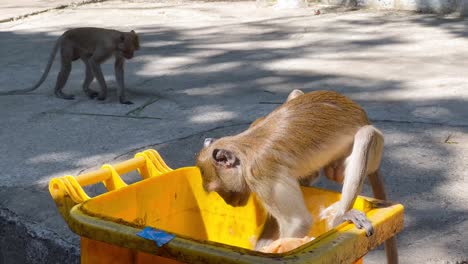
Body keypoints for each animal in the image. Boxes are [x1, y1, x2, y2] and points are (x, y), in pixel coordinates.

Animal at [0, 27, 139, 104]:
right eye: (129, 51)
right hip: (67, 46)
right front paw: (103, 94)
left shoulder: (117, 53)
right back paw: (58, 93)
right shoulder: (106, 48)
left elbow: (118, 68)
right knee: (68, 67)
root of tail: (65, 33)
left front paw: (122, 99)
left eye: (134, 50)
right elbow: (94, 62)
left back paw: (86, 90)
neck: (115, 41)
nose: (131, 56)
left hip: (80, 51)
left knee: (88, 68)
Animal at [197, 89, 398, 262]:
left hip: (364, 157)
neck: (244, 149)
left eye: (221, 189)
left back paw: (341, 215)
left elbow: (297, 222)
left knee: (366, 135)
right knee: (296, 93)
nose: (229, 202)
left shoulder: (261, 174)